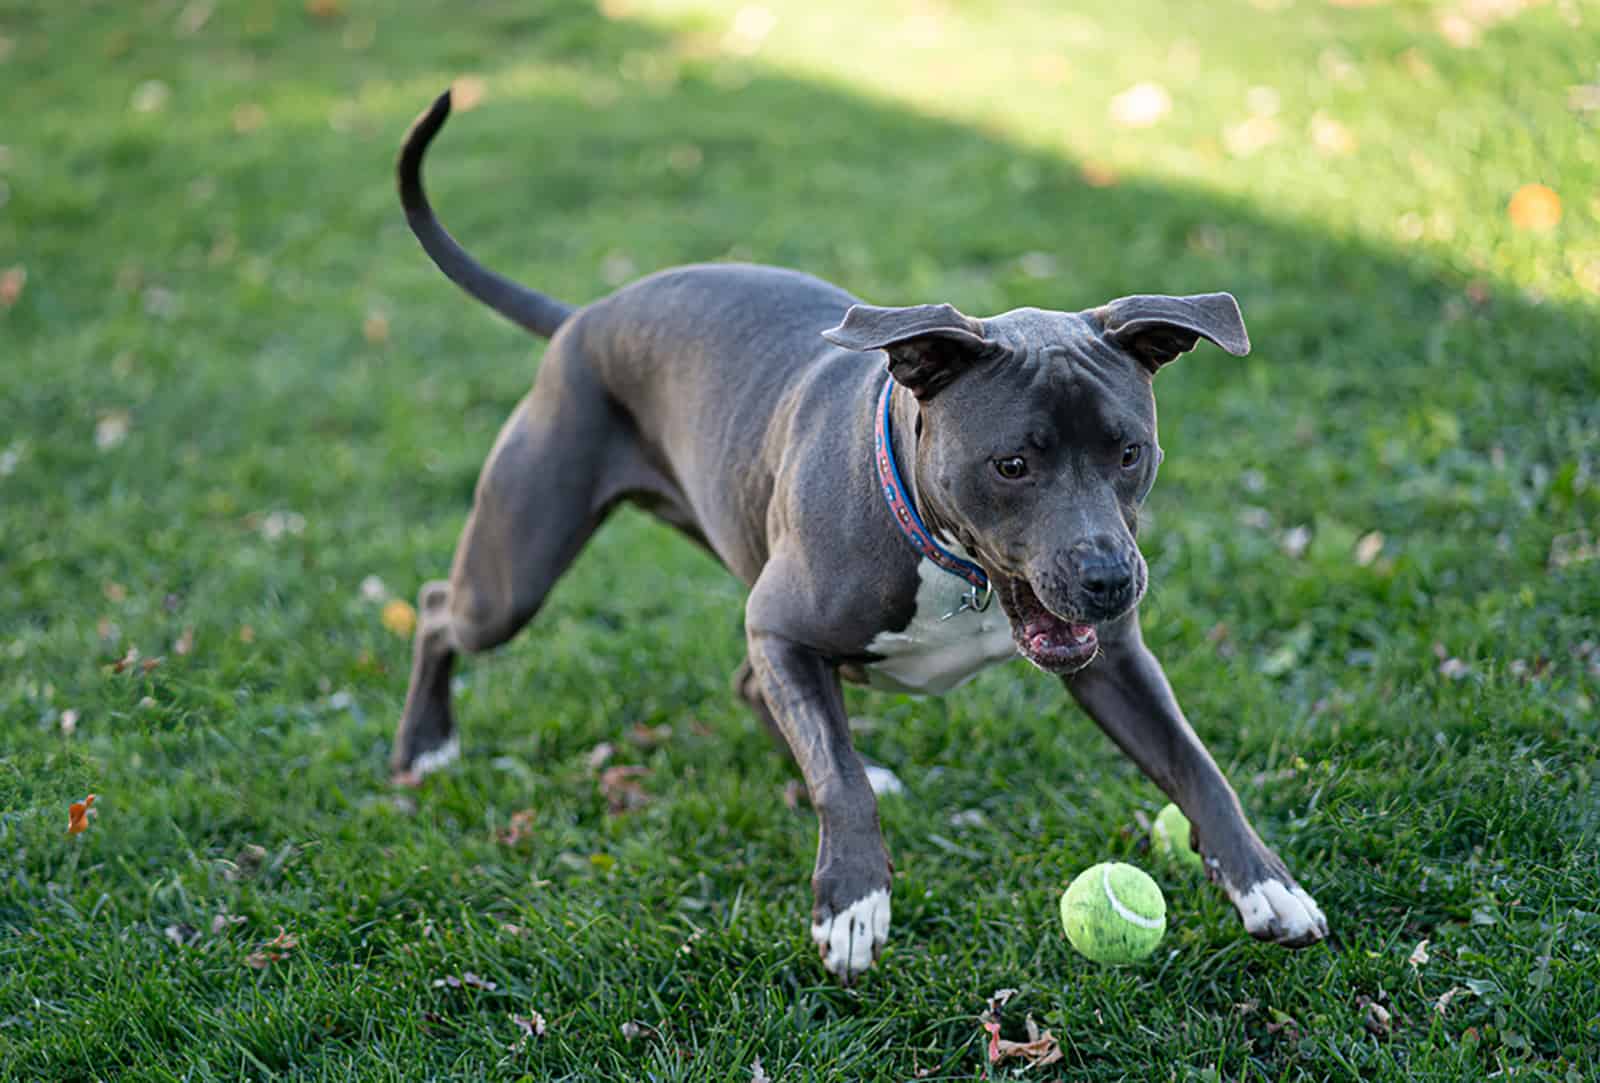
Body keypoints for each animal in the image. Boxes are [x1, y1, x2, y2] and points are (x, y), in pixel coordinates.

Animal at [393, 90, 1331, 979]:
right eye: (1012, 465)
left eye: (1129, 451)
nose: (1108, 579)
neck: (946, 557)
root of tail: (584, 315)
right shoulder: (782, 624)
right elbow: (838, 780)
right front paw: (851, 899)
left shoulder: (1116, 665)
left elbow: (1196, 764)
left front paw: (1267, 884)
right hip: (514, 576)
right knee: (441, 606)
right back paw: (425, 745)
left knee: (754, 688)